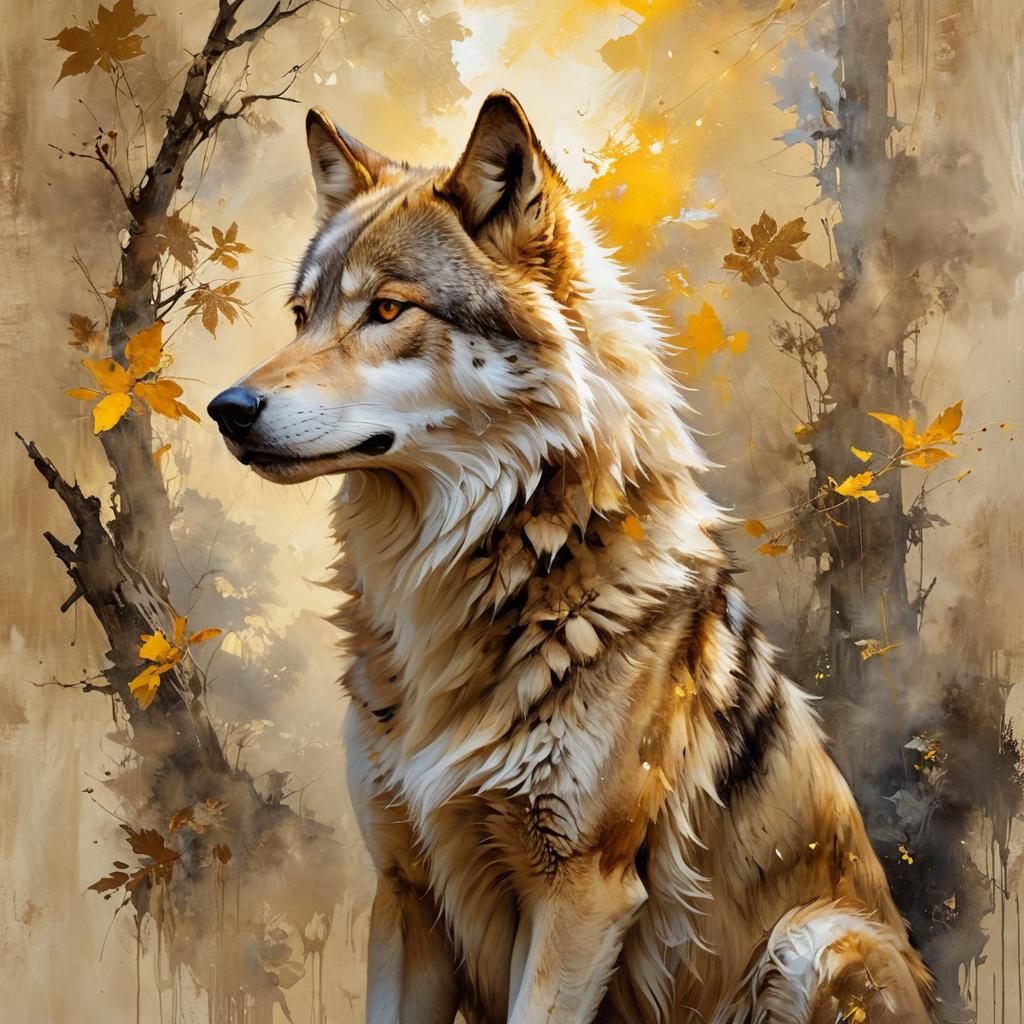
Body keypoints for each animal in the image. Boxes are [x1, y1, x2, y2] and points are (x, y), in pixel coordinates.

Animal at [208, 92, 936, 1023]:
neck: (455, 583)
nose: (227, 408)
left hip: (816, 940)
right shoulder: (405, 889)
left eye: (388, 310)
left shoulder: (582, 892)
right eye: (303, 316)